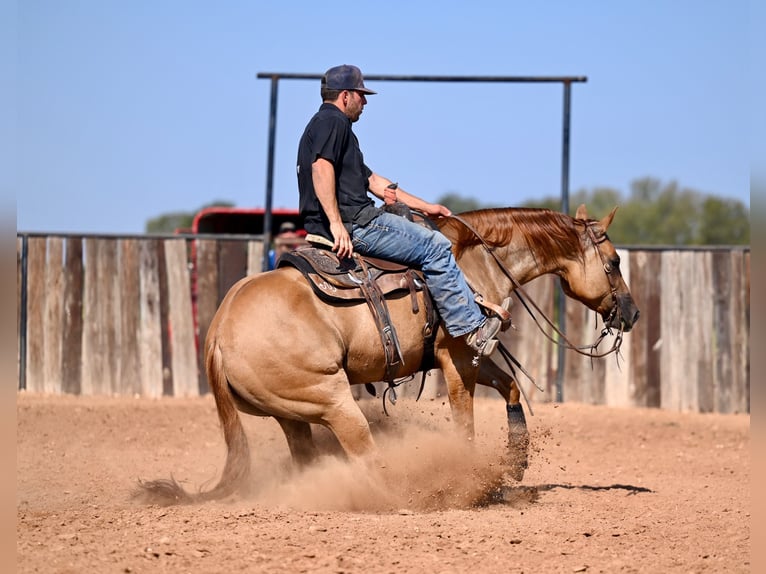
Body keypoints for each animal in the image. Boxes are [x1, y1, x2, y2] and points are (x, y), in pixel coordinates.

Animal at [140, 205, 640, 506]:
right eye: (615, 262)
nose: (632, 313)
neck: (471, 261)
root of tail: (218, 332)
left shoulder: (474, 357)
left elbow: (512, 387)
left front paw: (514, 466)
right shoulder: (457, 358)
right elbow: (465, 425)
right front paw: (473, 483)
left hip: (291, 412)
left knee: (309, 457)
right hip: (333, 401)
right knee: (363, 453)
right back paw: (406, 494)